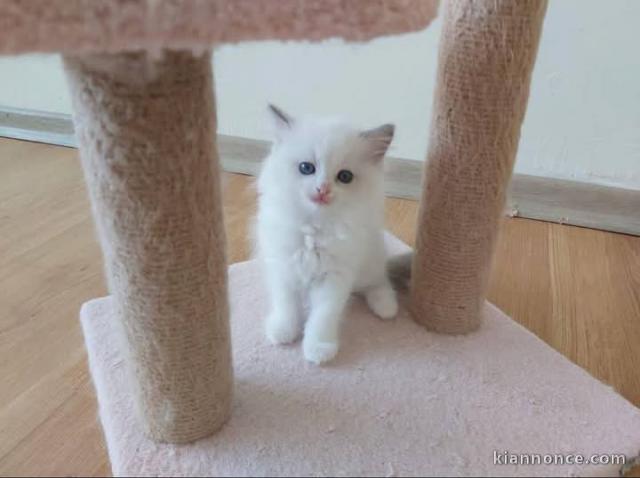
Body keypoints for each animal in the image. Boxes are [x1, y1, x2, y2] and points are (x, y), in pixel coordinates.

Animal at [256, 105, 400, 366]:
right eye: (306, 168)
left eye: (345, 177)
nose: (323, 189)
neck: (314, 229)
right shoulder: (282, 266)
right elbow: (286, 304)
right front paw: (283, 331)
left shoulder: (335, 275)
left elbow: (323, 315)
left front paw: (319, 348)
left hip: (369, 262)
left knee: (379, 281)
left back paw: (386, 307)